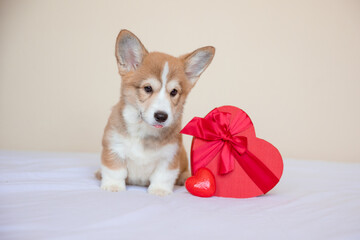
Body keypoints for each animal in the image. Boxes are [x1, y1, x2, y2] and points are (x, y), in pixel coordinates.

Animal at [97, 29, 215, 195]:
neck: (143, 130)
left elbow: (162, 176)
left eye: (174, 92)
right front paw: (113, 186)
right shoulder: (114, 147)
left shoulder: (169, 156)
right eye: (147, 88)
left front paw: (159, 191)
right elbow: (115, 170)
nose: (161, 116)